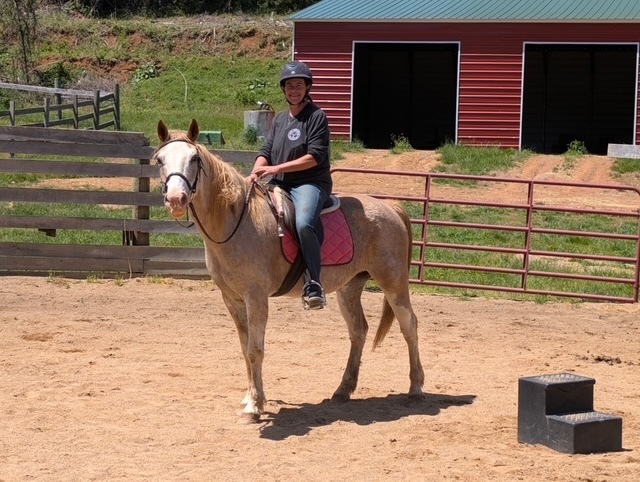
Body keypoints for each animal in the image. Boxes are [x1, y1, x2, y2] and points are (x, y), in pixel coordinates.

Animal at [153, 119, 424, 423]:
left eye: (194, 159)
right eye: (160, 160)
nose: (176, 199)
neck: (238, 222)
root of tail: (389, 206)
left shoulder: (256, 297)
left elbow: (255, 350)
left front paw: (255, 406)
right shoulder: (232, 299)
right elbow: (244, 348)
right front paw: (251, 397)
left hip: (394, 284)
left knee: (409, 325)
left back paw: (415, 389)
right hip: (350, 288)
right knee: (359, 331)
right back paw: (343, 390)